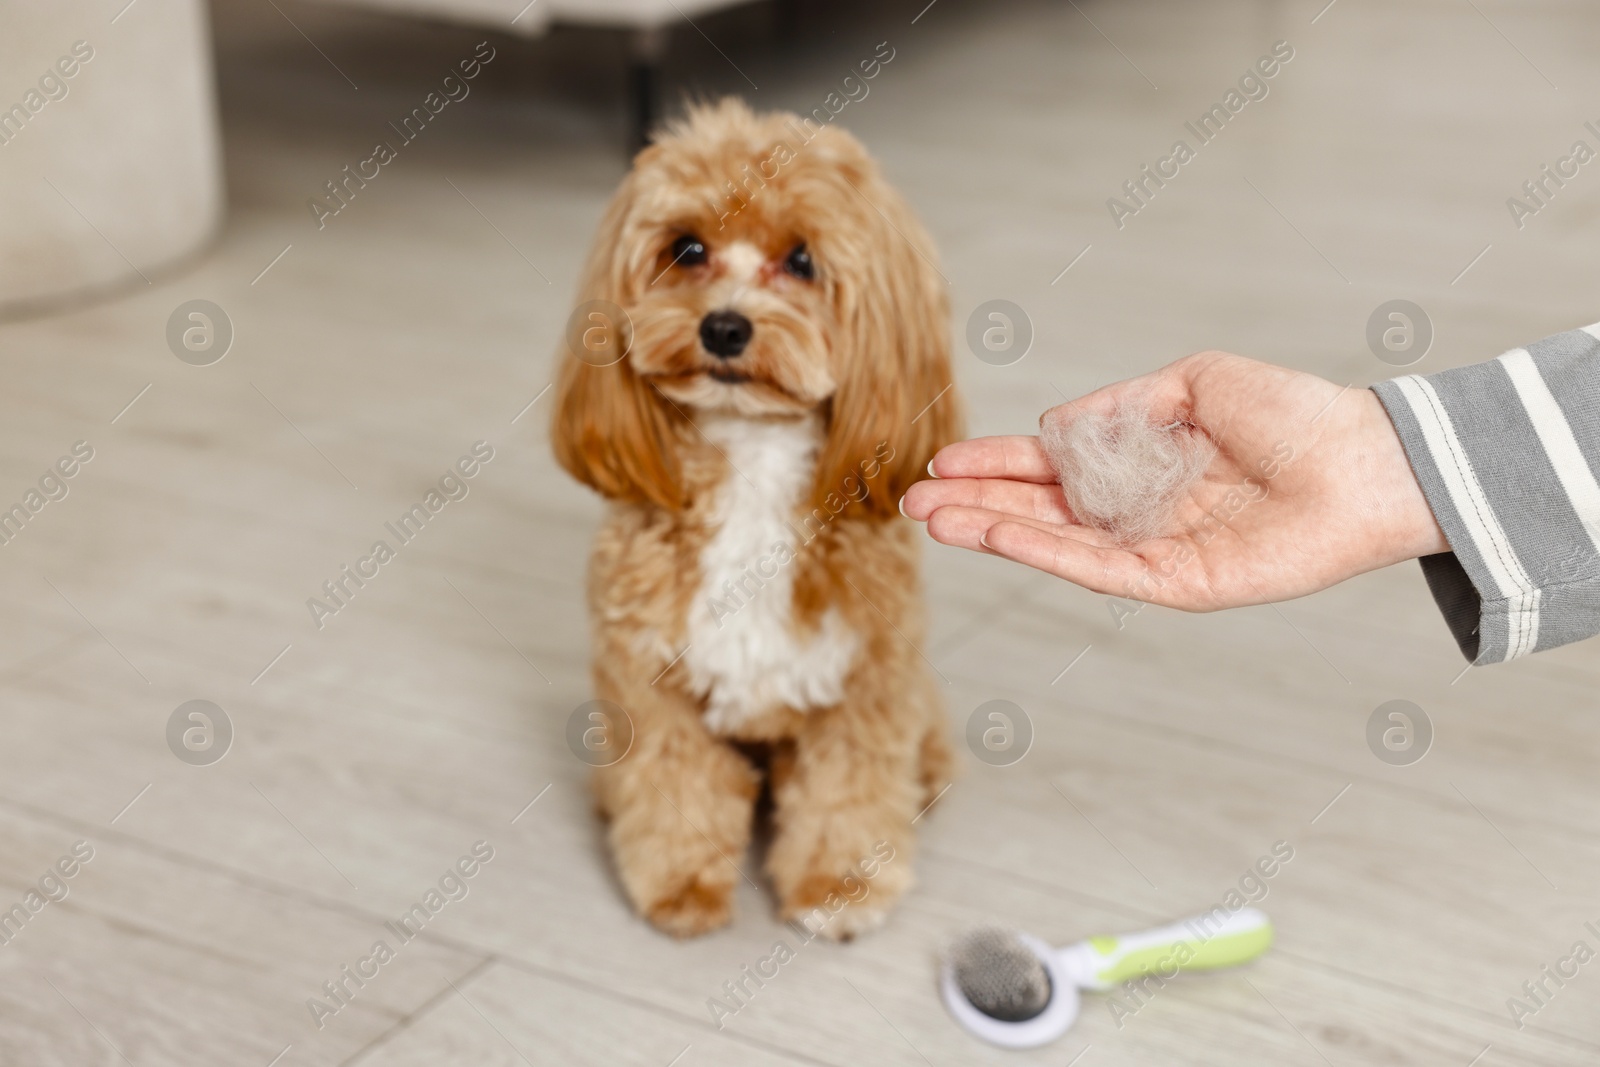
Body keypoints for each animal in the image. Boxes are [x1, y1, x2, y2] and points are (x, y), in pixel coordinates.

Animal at [553, 95, 960, 940]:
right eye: (686, 248)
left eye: (802, 261)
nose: (725, 327)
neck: (752, 462)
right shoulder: (651, 687)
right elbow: (678, 789)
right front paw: (680, 886)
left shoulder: (864, 682)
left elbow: (846, 794)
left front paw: (839, 887)